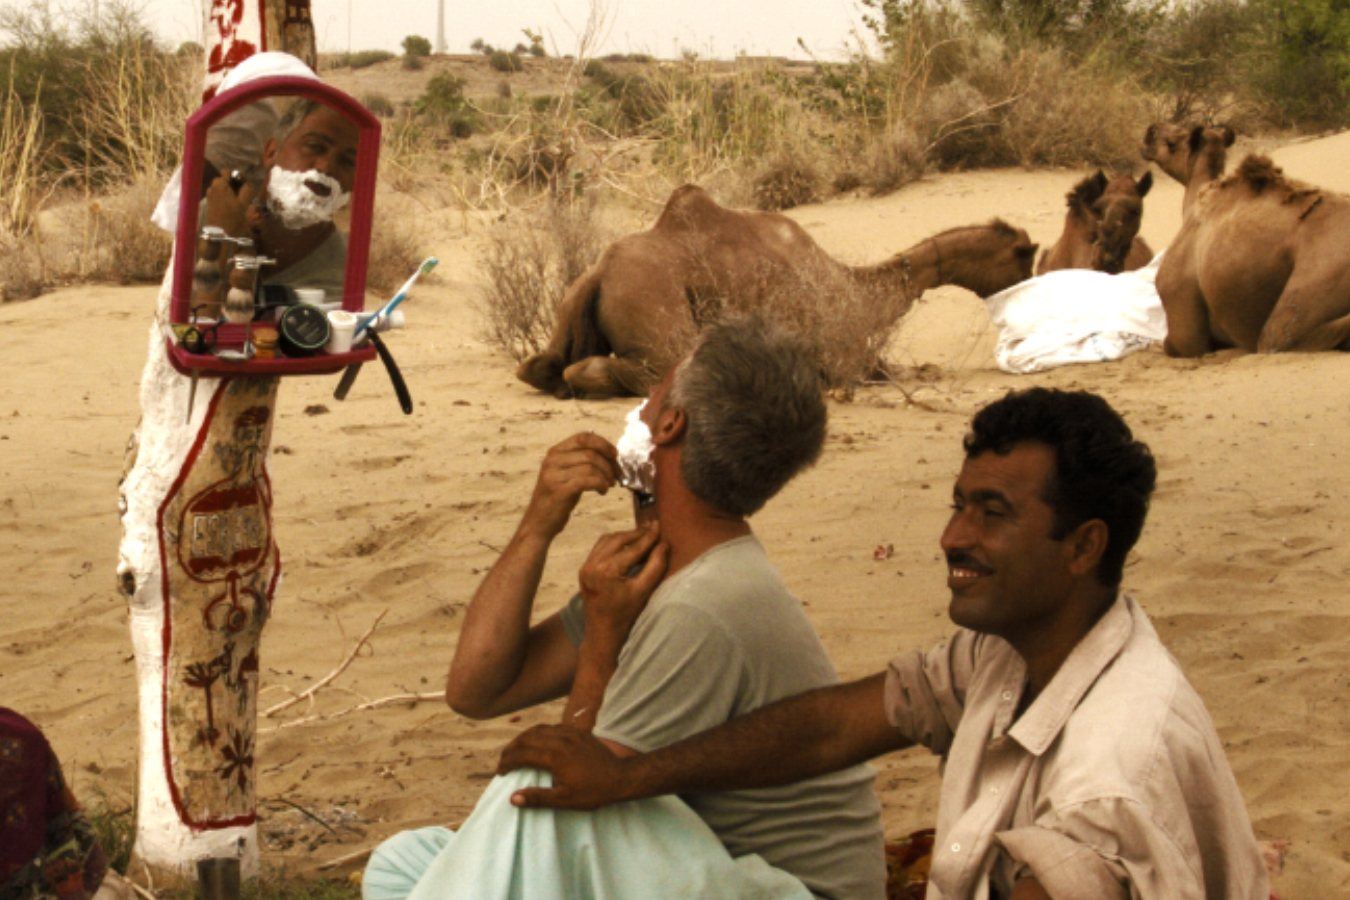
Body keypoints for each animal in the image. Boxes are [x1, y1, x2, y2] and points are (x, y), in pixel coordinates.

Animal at [513, 184, 1031, 399]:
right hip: (656, 315)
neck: (859, 288)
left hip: (569, 310)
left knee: (538, 367)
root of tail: (601, 273)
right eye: (1024, 255)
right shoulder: (845, 361)